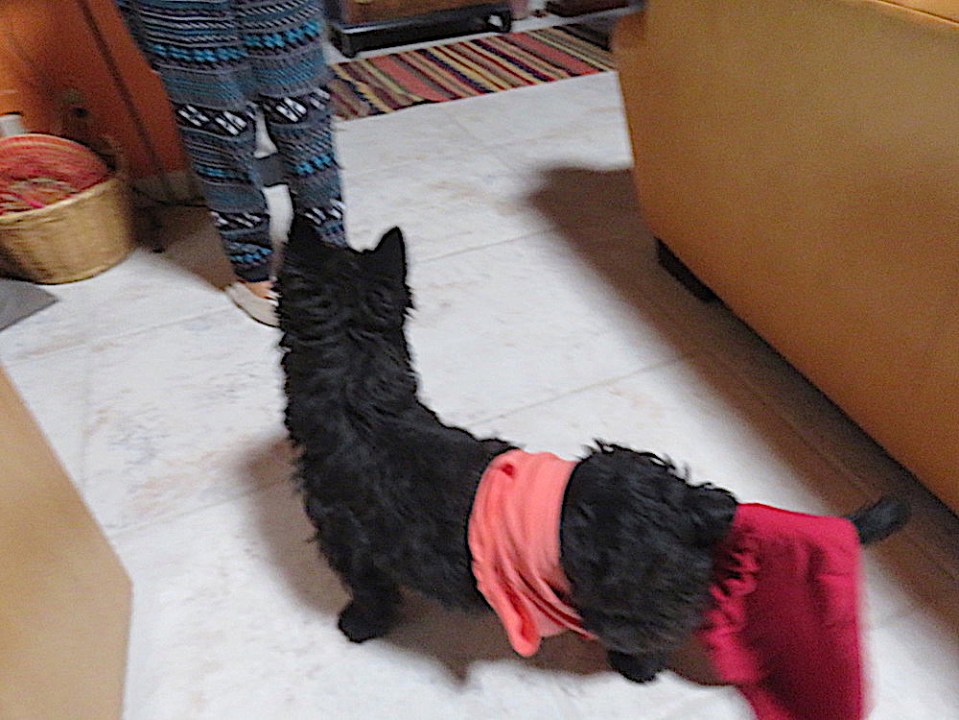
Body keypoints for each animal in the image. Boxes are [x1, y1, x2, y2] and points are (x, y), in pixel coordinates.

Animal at [277, 217, 909, 684]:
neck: (362, 399)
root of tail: (693, 504)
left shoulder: (348, 543)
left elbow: (370, 591)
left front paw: (356, 625)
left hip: (621, 605)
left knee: (653, 637)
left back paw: (636, 667)